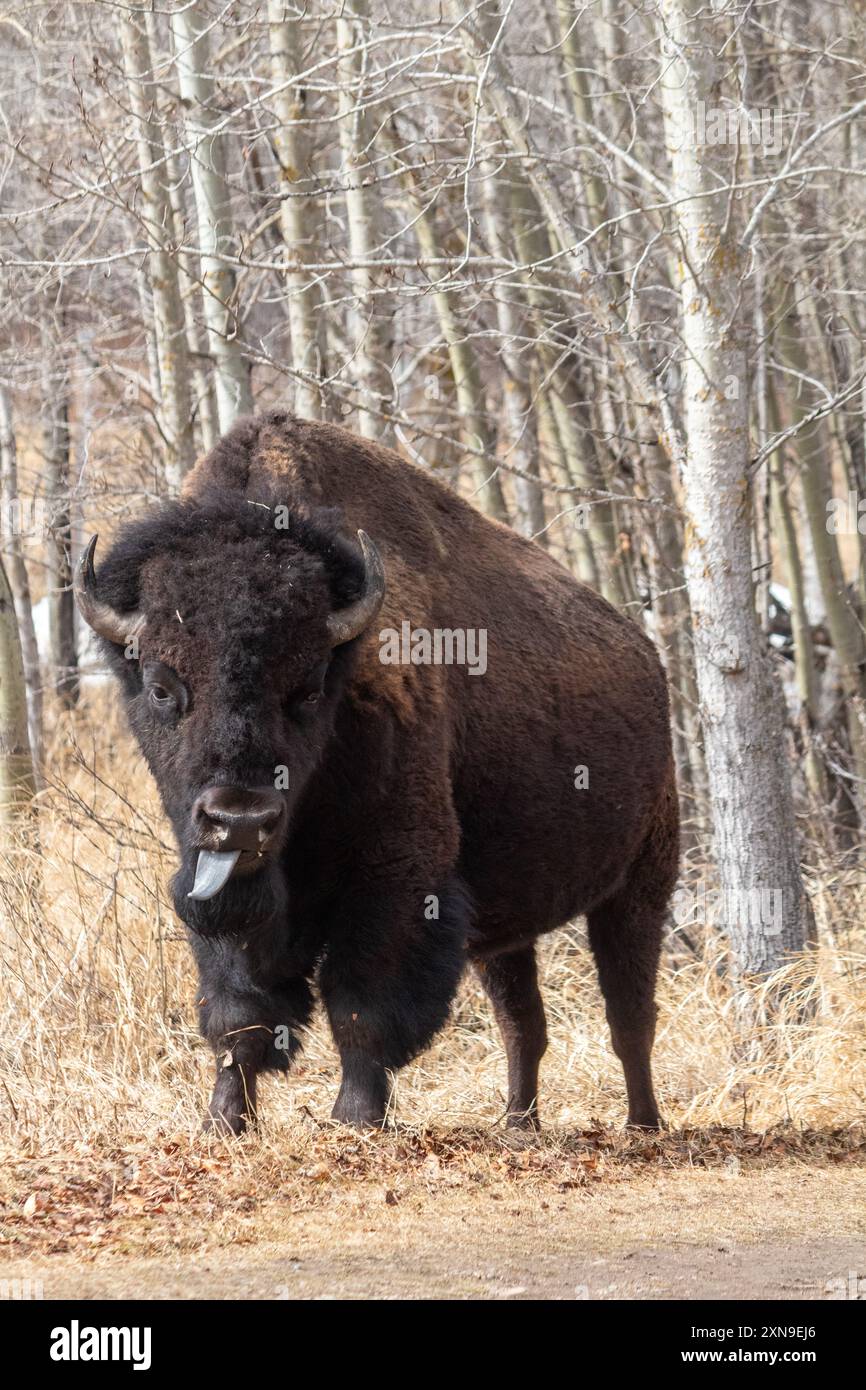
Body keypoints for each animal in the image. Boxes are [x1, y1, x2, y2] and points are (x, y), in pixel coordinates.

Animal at [76, 405, 678, 1134]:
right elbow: (239, 1011)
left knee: (629, 1012)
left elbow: (362, 1002)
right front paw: (226, 1119)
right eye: (163, 687)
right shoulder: (216, 884)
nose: (240, 820)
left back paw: (642, 1123)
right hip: (507, 926)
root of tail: (646, 656)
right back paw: (517, 1124)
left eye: (309, 688)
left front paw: (356, 1117)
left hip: (641, 882)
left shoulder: (397, 876)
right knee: (522, 1020)